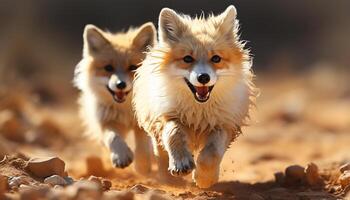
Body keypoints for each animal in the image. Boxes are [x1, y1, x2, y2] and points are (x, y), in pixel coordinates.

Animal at [74, 22, 156, 175]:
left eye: (133, 67)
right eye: (108, 68)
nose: (120, 84)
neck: (126, 111)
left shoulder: (143, 122)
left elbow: (143, 144)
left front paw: (142, 165)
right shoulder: (106, 121)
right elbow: (113, 138)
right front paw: (121, 156)